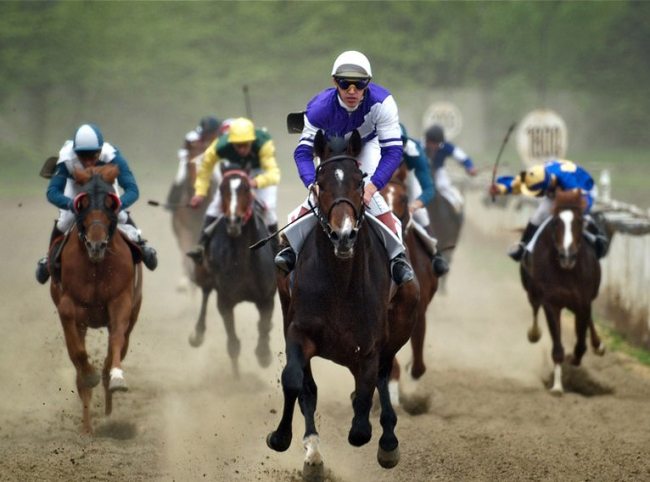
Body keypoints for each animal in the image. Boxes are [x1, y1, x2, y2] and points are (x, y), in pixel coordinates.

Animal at [49, 164, 143, 435]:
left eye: (111, 203)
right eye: (83, 203)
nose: (96, 245)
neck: (96, 266)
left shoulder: (121, 302)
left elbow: (116, 342)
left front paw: (117, 378)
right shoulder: (71, 306)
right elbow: (79, 355)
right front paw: (88, 375)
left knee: (115, 351)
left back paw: (109, 413)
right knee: (80, 367)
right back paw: (87, 426)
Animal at [188, 164, 276, 378]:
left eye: (247, 188)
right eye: (222, 189)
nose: (234, 221)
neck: (244, 259)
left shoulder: (267, 297)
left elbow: (263, 326)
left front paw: (264, 355)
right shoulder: (225, 301)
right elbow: (233, 344)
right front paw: (236, 378)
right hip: (203, 273)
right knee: (205, 293)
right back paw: (197, 333)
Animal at [268, 130, 419, 480]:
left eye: (359, 182)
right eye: (321, 183)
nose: (344, 235)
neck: (338, 281)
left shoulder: (369, 348)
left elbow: (362, 416)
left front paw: (376, 433)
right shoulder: (298, 331)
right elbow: (296, 382)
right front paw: (284, 438)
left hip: (397, 330)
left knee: (384, 376)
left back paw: (388, 442)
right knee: (311, 387)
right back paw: (313, 453)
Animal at [520, 188, 605, 395]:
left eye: (580, 222)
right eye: (556, 222)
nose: (567, 256)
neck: (567, 271)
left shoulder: (583, 302)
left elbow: (581, 343)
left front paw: (574, 360)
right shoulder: (551, 303)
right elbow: (557, 347)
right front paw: (557, 386)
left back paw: (598, 345)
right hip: (530, 289)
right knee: (534, 306)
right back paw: (534, 333)